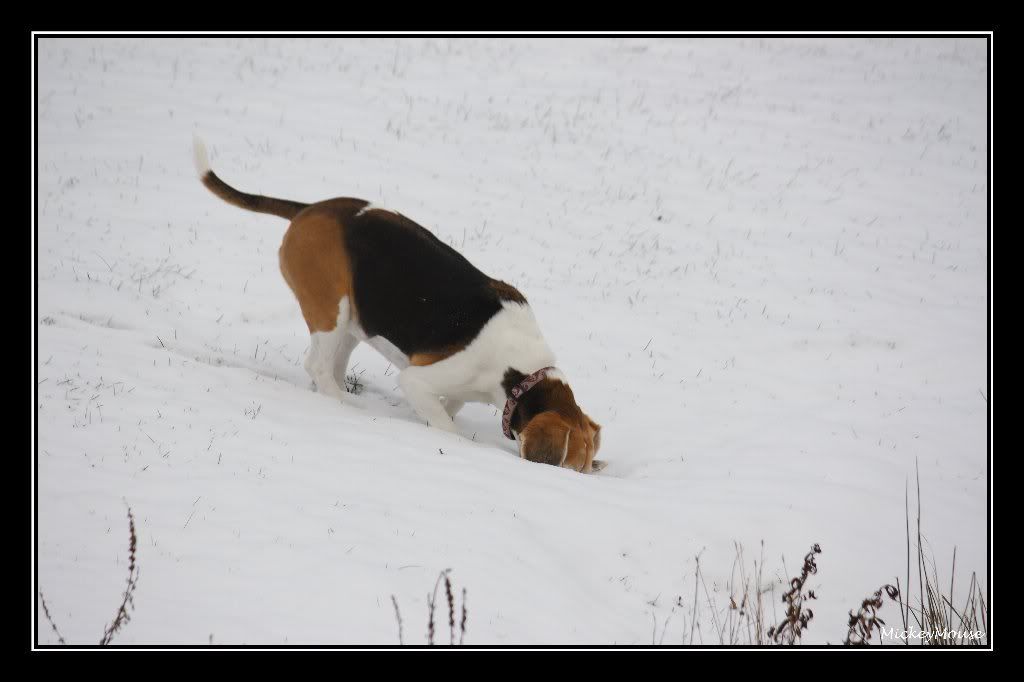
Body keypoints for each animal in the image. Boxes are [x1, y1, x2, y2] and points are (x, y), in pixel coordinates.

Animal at [195, 137, 602, 466]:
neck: (519, 375)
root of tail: (310, 209)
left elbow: (448, 407)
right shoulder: (418, 380)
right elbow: (444, 424)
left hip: (353, 323)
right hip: (331, 310)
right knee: (317, 366)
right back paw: (343, 404)